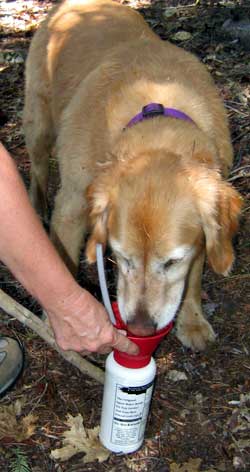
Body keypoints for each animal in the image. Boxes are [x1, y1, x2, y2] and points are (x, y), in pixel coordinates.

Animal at [23, 0, 242, 348]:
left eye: (172, 262)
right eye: (121, 256)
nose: (140, 329)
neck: (156, 110)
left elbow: (194, 276)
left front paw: (192, 321)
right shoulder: (71, 208)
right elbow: (62, 265)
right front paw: (63, 323)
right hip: (39, 119)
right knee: (39, 164)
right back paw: (36, 201)